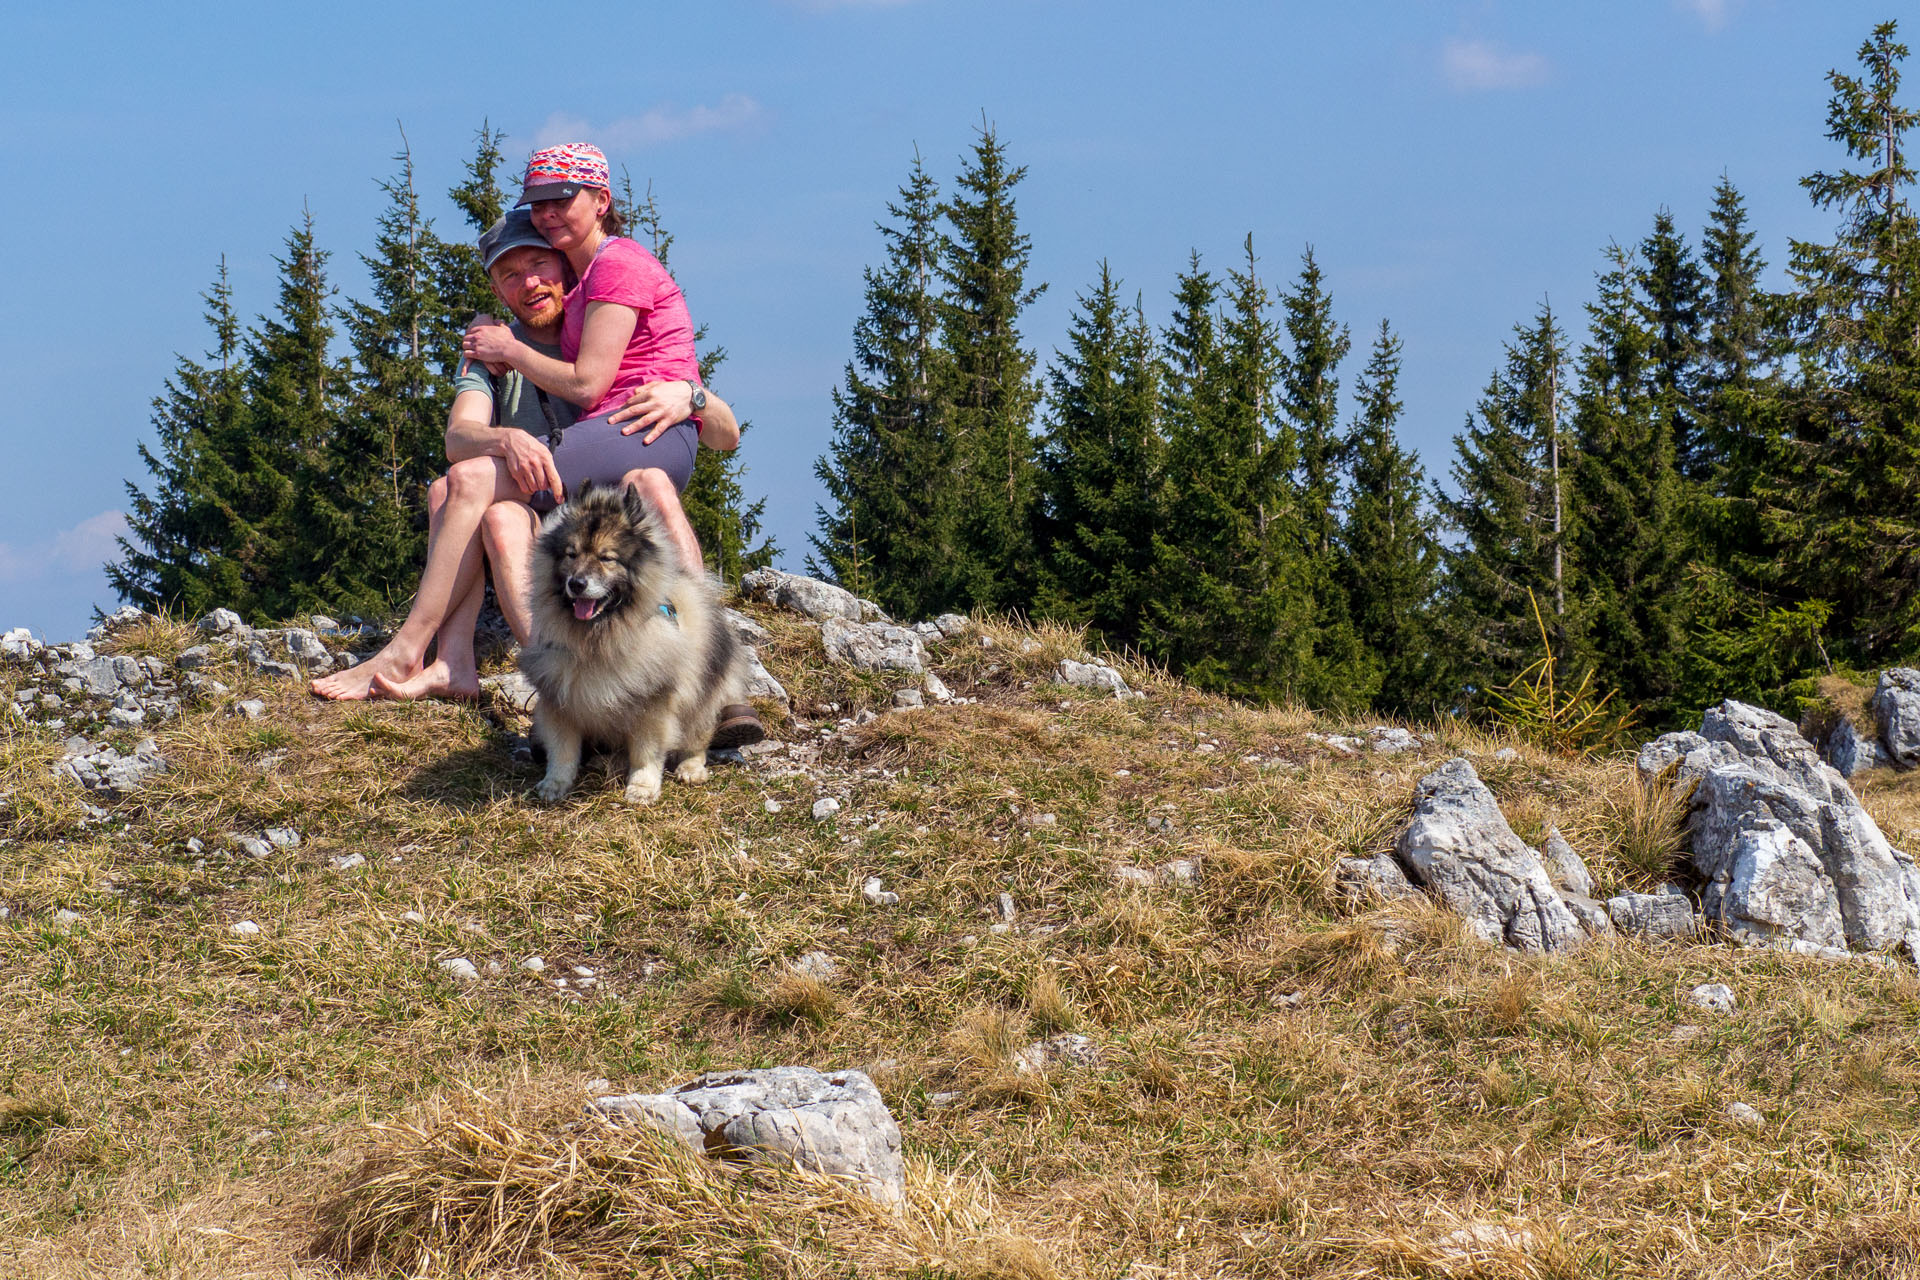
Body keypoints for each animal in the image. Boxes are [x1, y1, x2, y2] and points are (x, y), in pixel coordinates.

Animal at [518, 479, 741, 802]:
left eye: (607, 558)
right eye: (571, 554)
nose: (577, 583)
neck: (600, 640)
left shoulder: (653, 705)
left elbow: (646, 753)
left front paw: (642, 787)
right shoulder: (560, 699)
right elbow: (563, 751)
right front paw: (555, 783)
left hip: (701, 699)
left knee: (697, 739)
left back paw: (690, 768)